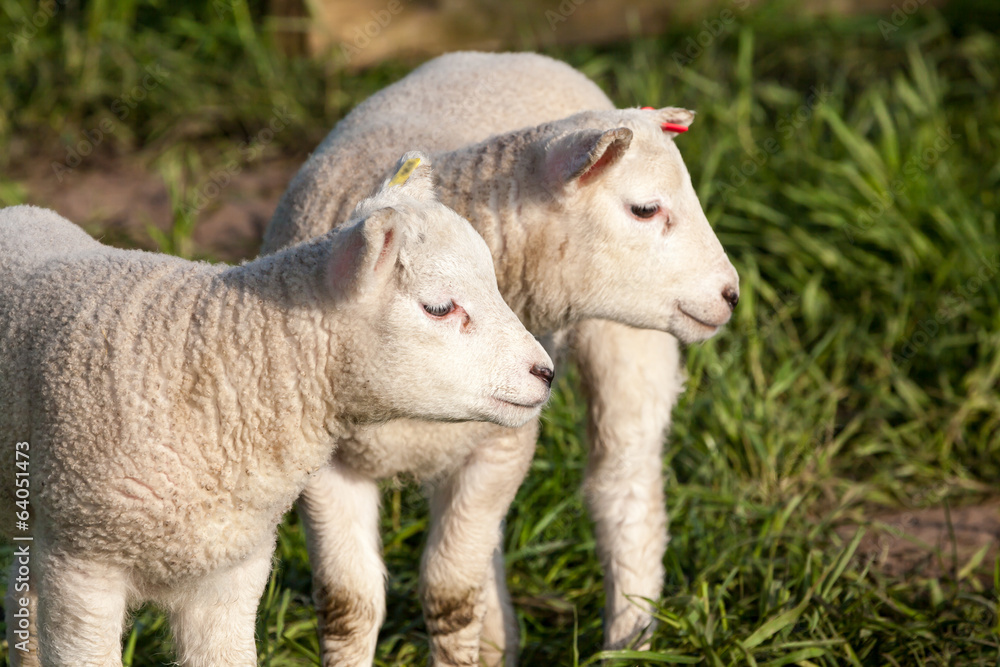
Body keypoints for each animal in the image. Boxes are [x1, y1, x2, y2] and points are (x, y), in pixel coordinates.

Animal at [265, 52, 740, 666]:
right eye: (644, 209)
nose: (731, 293)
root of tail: (519, 55)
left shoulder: (500, 448)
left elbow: (448, 596)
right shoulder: (324, 468)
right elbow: (349, 604)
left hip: (628, 345)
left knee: (624, 489)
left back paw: (629, 638)